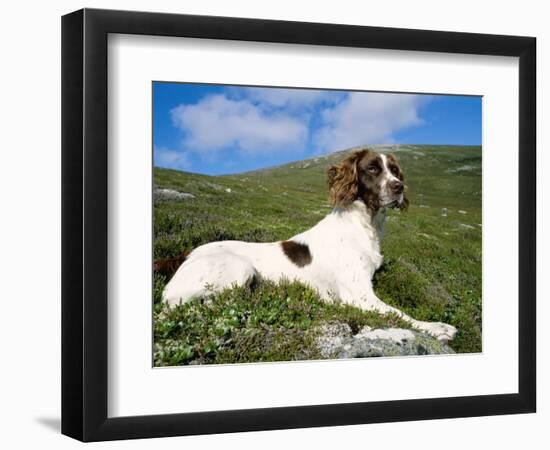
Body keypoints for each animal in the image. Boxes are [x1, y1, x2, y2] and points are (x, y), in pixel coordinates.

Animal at [163, 149, 462, 342]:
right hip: (239, 268)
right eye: (372, 169)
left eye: (395, 170)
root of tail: (186, 254)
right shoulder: (358, 295)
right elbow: (399, 313)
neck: (364, 224)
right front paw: (438, 328)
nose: (399, 187)